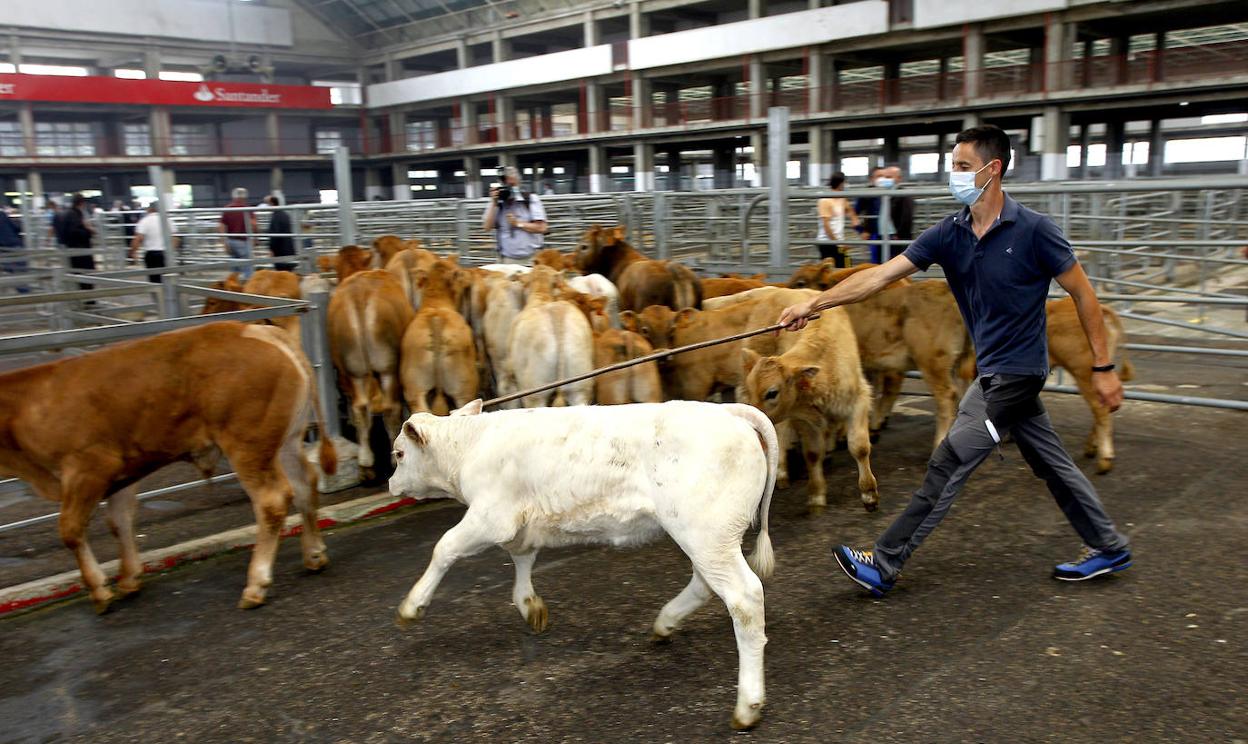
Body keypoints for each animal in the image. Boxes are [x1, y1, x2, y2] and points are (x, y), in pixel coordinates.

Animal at [0, 322, 336, 614]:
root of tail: (260, 330)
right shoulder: (123, 471)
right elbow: (119, 520)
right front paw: (129, 579)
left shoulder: (87, 468)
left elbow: (70, 530)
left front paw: (99, 591)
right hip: (285, 441)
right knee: (305, 485)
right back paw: (314, 554)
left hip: (248, 446)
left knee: (272, 500)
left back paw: (256, 585)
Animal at [326, 268, 414, 476]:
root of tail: (360, 294)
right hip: (387, 368)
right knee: (390, 409)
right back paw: (393, 459)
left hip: (354, 369)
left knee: (360, 408)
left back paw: (365, 463)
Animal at [391, 401, 778, 734]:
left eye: (398, 453)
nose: (391, 484)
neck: (470, 445)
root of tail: (730, 411)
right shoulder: (520, 522)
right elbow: (522, 557)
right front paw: (529, 605)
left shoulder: (491, 517)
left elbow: (445, 547)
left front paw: (412, 605)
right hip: (706, 539)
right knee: (704, 584)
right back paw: (665, 622)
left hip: (707, 535)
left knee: (744, 598)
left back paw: (748, 705)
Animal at [399, 258, 476, 414]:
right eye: (459, 271)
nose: (469, 275)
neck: (436, 303)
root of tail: (436, 318)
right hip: (464, 390)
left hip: (414, 389)